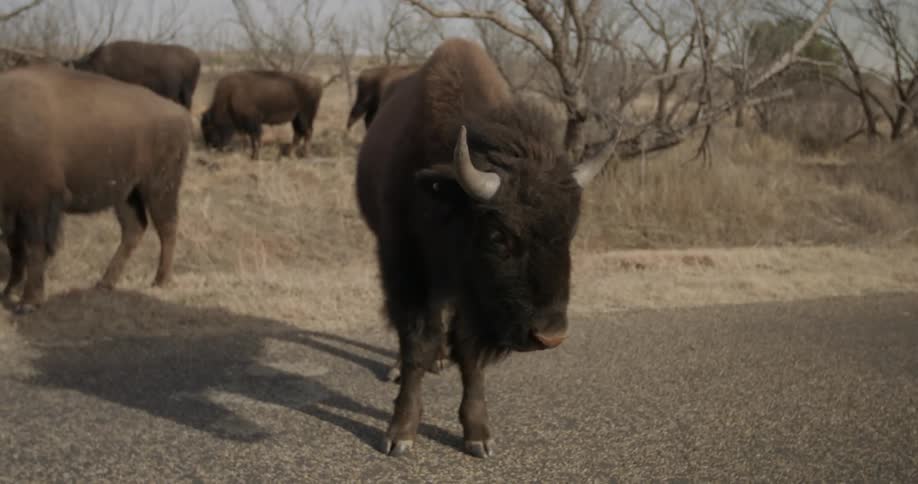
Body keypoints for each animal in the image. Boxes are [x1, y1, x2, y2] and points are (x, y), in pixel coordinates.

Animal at [0, 64, 192, 314]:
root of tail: (180, 114)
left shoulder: (36, 205)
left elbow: (34, 248)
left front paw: (28, 302)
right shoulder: (12, 210)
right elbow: (16, 250)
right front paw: (8, 292)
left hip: (159, 188)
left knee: (167, 228)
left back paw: (160, 281)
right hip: (126, 195)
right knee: (135, 228)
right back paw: (105, 283)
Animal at [355, 38, 611, 458]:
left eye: (570, 230)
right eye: (498, 235)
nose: (551, 336)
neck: (445, 199)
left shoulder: (470, 297)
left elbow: (469, 351)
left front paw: (478, 433)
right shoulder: (407, 271)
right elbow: (414, 344)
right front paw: (400, 433)